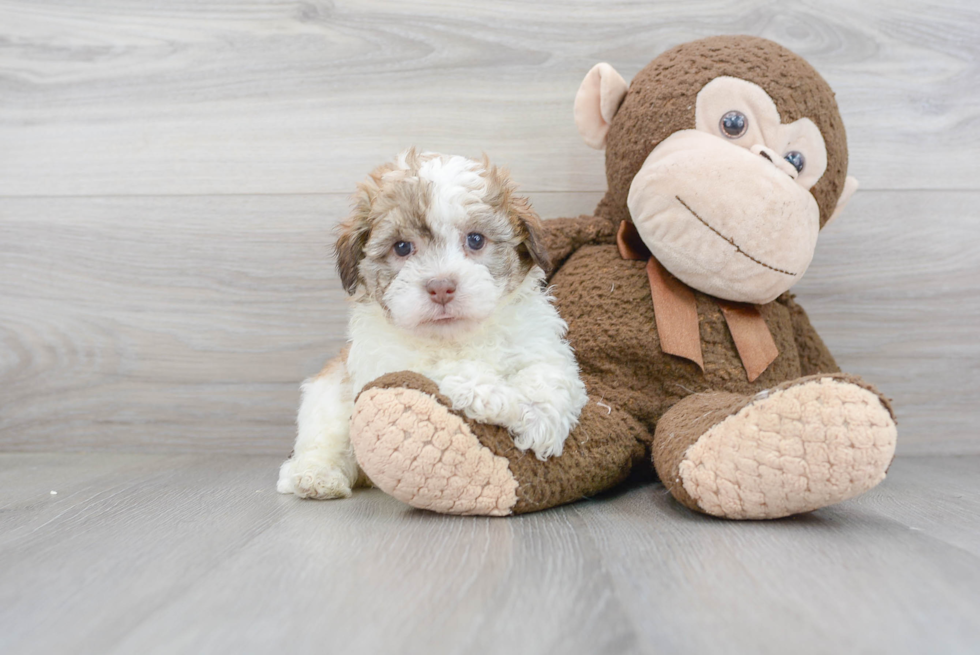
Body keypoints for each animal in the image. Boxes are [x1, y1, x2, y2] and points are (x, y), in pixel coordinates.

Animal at [276, 151, 584, 500]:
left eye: (475, 240)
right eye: (401, 247)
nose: (441, 287)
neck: (455, 337)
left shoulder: (539, 344)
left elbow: (549, 377)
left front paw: (539, 421)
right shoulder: (388, 362)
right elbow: (440, 370)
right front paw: (486, 394)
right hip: (326, 397)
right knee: (322, 443)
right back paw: (315, 476)